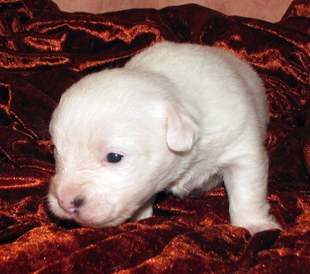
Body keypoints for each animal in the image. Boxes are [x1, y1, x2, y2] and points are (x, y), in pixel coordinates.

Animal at [47, 41, 280, 234]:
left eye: (114, 157)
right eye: (57, 151)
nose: (64, 202)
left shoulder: (243, 150)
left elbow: (247, 193)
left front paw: (255, 225)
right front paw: (141, 220)